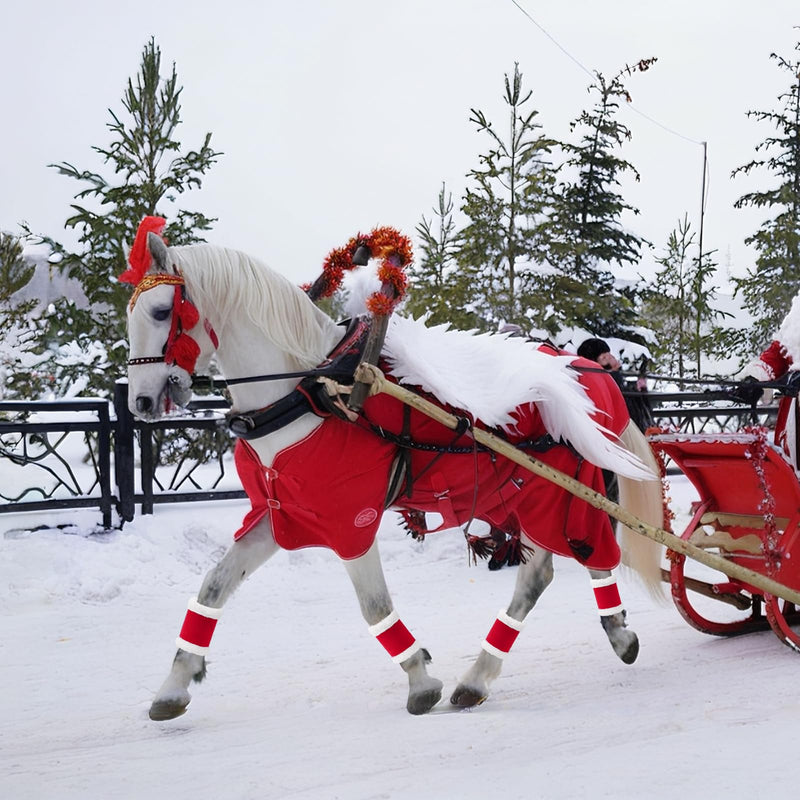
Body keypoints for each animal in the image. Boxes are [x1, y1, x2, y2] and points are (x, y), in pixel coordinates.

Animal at [124, 227, 664, 720]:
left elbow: (375, 606)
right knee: (566, 562)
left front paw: (420, 680)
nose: (141, 403)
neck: (309, 394)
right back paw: (576, 642)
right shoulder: (281, 514)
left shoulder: (350, 523)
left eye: (161, 312)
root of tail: (590, 375)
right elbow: (213, 585)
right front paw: (174, 685)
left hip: (554, 490)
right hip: (521, 493)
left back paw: (500, 668)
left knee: (564, 564)